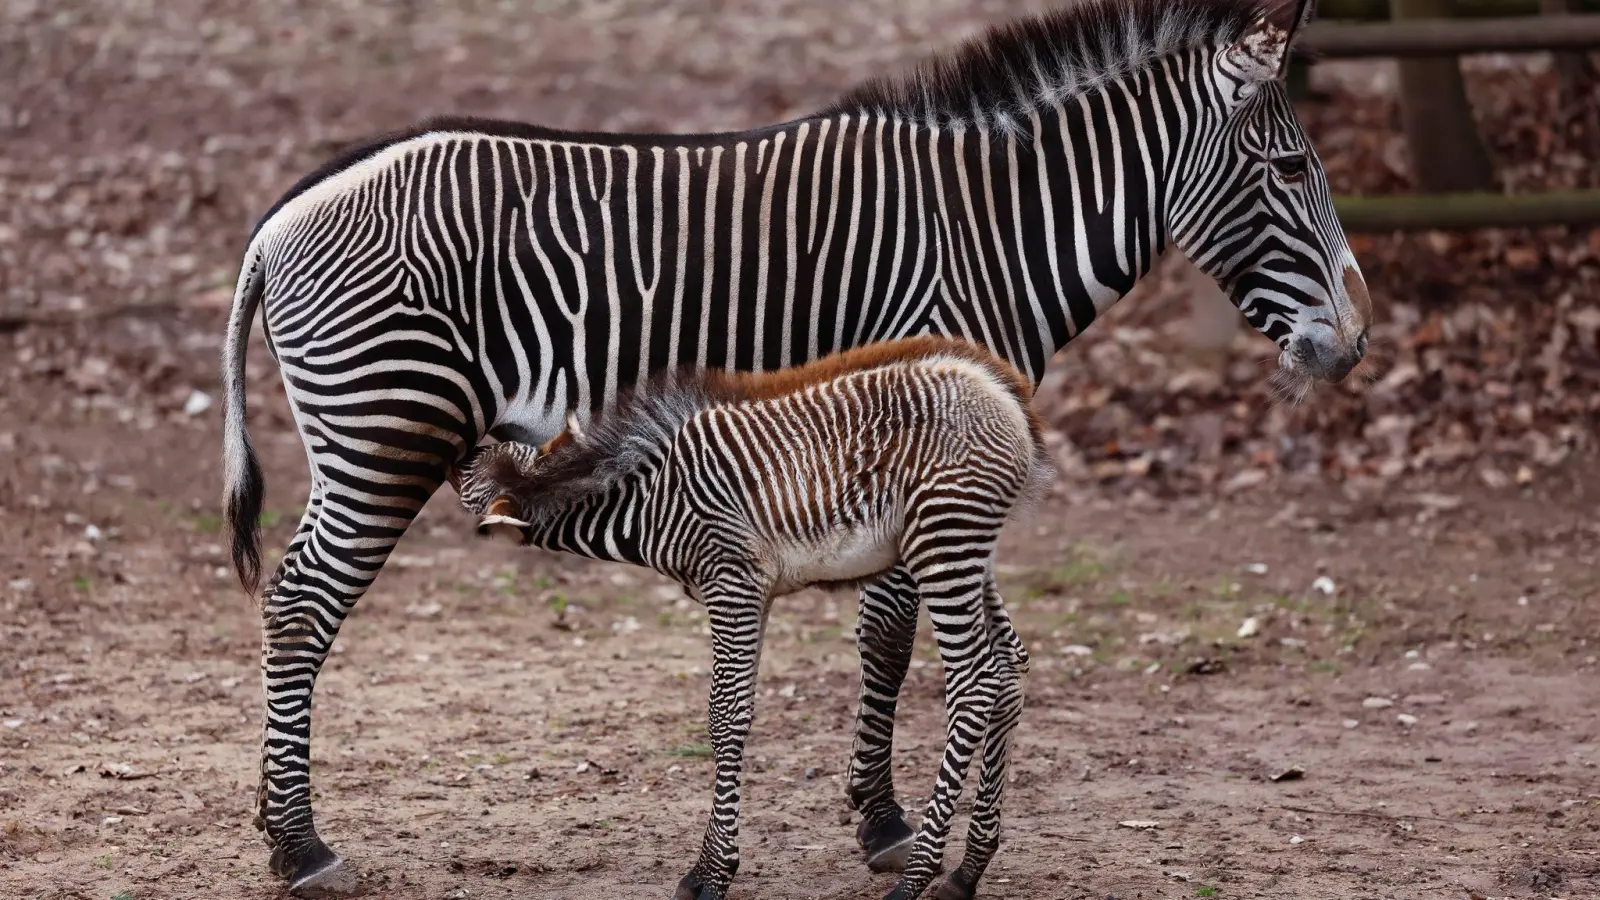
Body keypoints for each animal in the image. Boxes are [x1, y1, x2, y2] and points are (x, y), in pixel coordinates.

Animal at [451, 336, 1049, 896]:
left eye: (470, 478)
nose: (458, 451)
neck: (645, 502)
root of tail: (1000, 390)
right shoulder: (754, 594)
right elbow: (738, 708)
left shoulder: (730, 581)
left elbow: (726, 715)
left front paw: (711, 875)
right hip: (970, 548)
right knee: (1008, 669)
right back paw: (967, 871)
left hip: (943, 540)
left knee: (974, 682)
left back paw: (914, 879)